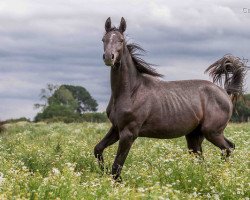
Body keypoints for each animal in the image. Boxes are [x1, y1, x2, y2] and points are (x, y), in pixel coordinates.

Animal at [94, 17, 246, 180]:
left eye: (121, 40)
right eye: (103, 39)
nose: (109, 57)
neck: (131, 91)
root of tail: (224, 92)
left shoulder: (129, 133)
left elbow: (117, 166)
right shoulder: (116, 128)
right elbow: (98, 149)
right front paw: (102, 172)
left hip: (212, 132)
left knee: (228, 148)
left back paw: (223, 174)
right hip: (194, 135)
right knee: (203, 157)